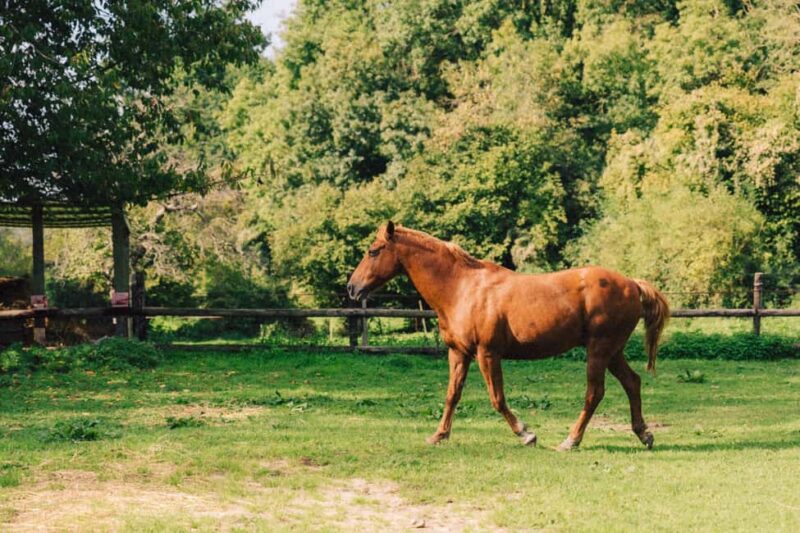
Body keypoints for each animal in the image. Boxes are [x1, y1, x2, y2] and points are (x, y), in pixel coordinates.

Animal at [347, 222, 669, 450]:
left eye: (373, 251)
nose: (352, 287)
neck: (461, 288)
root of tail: (632, 284)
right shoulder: (458, 353)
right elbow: (452, 395)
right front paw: (439, 435)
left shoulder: (487, 353)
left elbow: (497, 398)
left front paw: (526, 434)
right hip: (612, 351)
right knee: (632, 382)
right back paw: (644, 435)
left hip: (599, 350)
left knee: (595, 393)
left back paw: (571, 440)